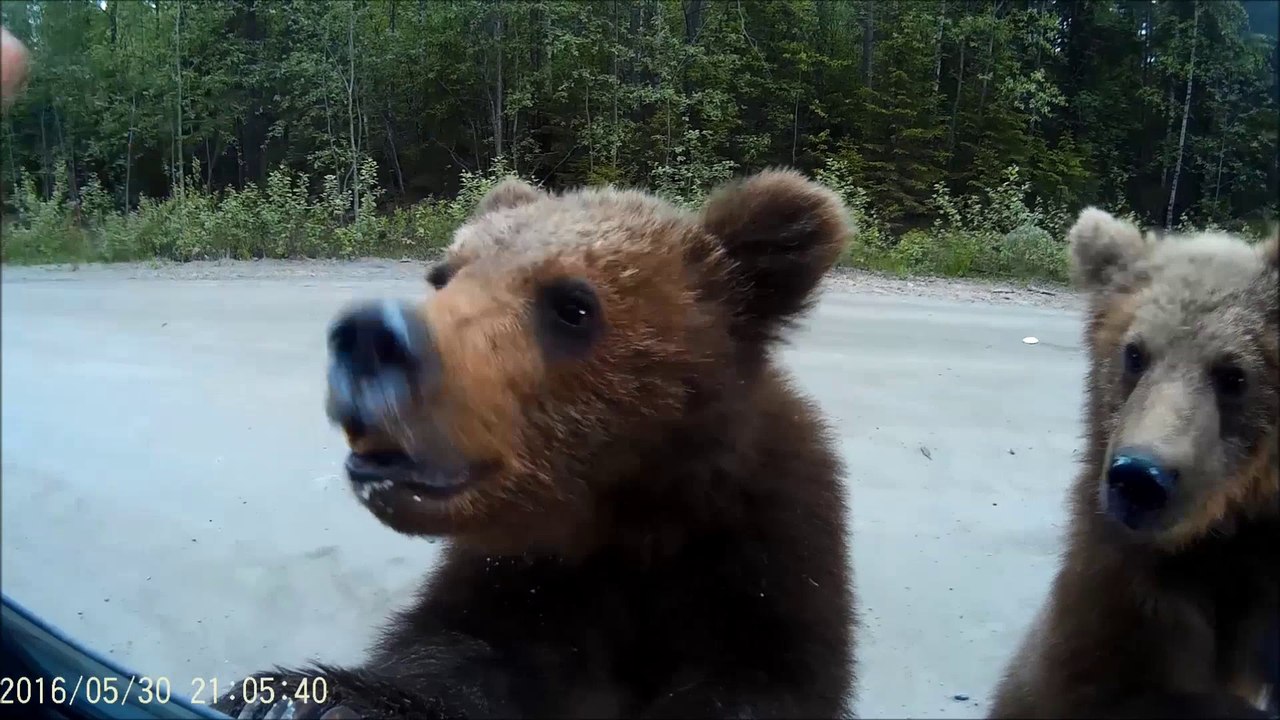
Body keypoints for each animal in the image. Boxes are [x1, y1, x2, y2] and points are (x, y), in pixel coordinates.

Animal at [213, 169, 857, 720]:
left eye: (573, 304)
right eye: (443, 273)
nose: (372, 338)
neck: (625, 520)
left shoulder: (765, 560)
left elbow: (761, 680)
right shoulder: (522, 577)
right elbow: (461, 653)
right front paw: (299, 699)